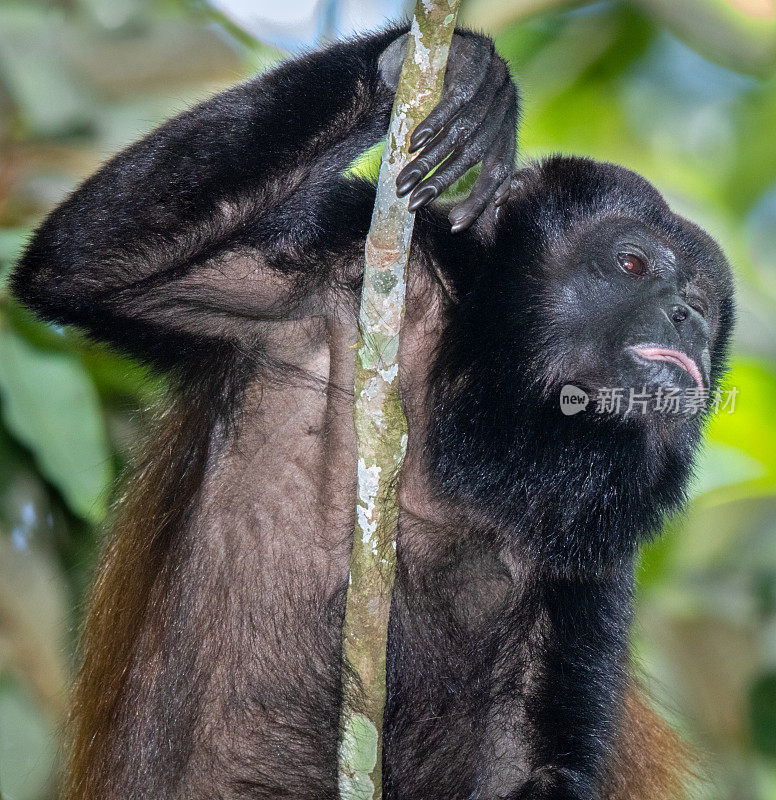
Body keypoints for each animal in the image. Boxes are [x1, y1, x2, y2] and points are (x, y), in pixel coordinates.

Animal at [12, 21, 732, 800]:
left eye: (706, 303)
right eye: (632, 263)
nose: (688, 316)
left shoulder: (592, 570)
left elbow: (534, 769)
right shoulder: (334, 263)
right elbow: (83, 261)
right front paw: (453, 71)